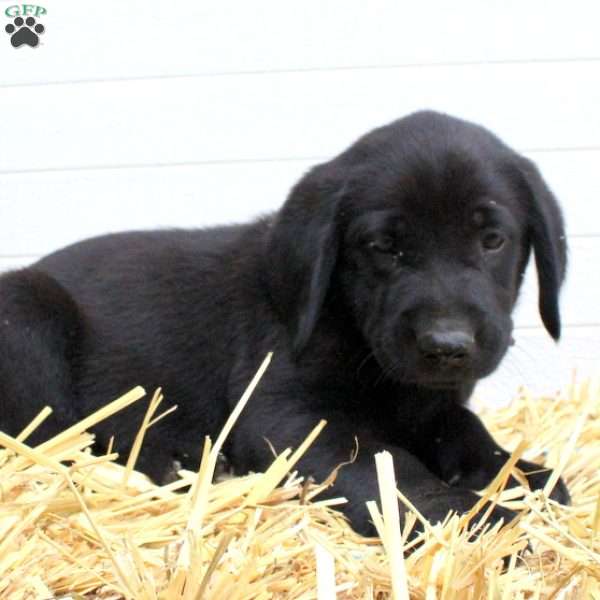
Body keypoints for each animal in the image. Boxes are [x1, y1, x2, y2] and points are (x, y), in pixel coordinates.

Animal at [0, 111, 568, 536]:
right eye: (382, 246)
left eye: (492, 240)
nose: (447, 345)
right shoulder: (286, 414)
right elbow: (384, 465)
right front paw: (469, 516)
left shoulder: (433, 405)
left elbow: (467, 431)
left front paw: (526, 476)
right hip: (26, 310)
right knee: (50, 446)